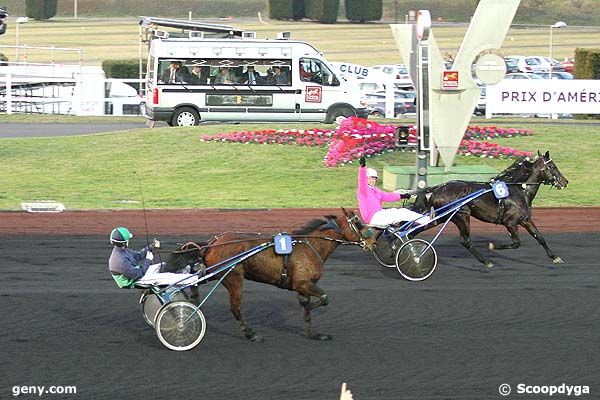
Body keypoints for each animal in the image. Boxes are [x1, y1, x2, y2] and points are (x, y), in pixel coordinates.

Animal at [166, 208, 376, 342]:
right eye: (358, 223)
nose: (373, 241)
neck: (311, 246)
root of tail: (214, 241)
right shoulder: (302, 284)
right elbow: (323, 298)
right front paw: (310, 308)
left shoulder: (304, 286)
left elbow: (308, 310)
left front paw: (314, 334)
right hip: (233, 277)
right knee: (236, 308)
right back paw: (251, 334)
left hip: (215, 273)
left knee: (195, 285)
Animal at [414, 152, 568, 268]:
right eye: (552, 166)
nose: (565, 182)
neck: (520, 190)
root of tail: (437, 189)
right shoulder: (510, 223)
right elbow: (516, 243)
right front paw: (493, 246)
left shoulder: (525, 220)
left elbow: (540, 237)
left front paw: (555, 257)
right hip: (461, 215)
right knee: (465, 240)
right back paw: (486, 261)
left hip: (441, 216)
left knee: (419, 228)